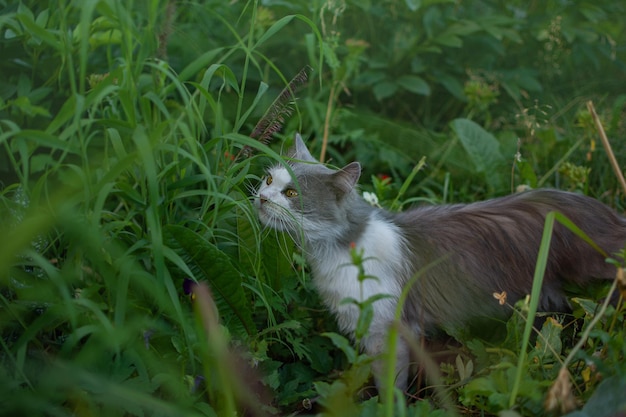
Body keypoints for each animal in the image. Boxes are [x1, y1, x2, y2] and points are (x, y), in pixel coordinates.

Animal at [254, 132, 624, 390]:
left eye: (291, 194)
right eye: (269, 180)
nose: (261, 198)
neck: (335, 252)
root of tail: (610, 215)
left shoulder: (387, 331)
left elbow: (390, 386)